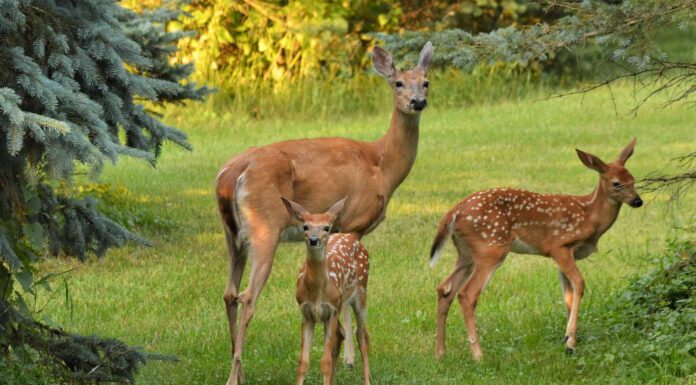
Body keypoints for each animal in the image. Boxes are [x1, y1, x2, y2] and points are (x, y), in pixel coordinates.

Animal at [282, 196, 372, 384]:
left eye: (326, 227)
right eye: (305, 226)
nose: (314, 239)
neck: (317, 292)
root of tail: (352, 236)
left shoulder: (331, 312)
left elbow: (325, 362)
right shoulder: (306, 313)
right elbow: (303, 363)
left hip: (361, 294)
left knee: (362, 337)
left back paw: (367, 380)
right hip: (340, 305)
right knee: (342, 335)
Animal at [430, 139, 640, 360]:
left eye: (633, 179)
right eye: (616, 183)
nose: (638, 201)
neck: (589, 215)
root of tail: (453, 212)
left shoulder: (565, 255)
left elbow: (568, 295)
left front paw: (569, 339)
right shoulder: (558, 246)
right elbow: (579, 284)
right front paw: (571, 342)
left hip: (466, 253)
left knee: (444, 289)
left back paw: (440, 353)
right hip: (491, 248)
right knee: (467, 294)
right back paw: (478, 355)